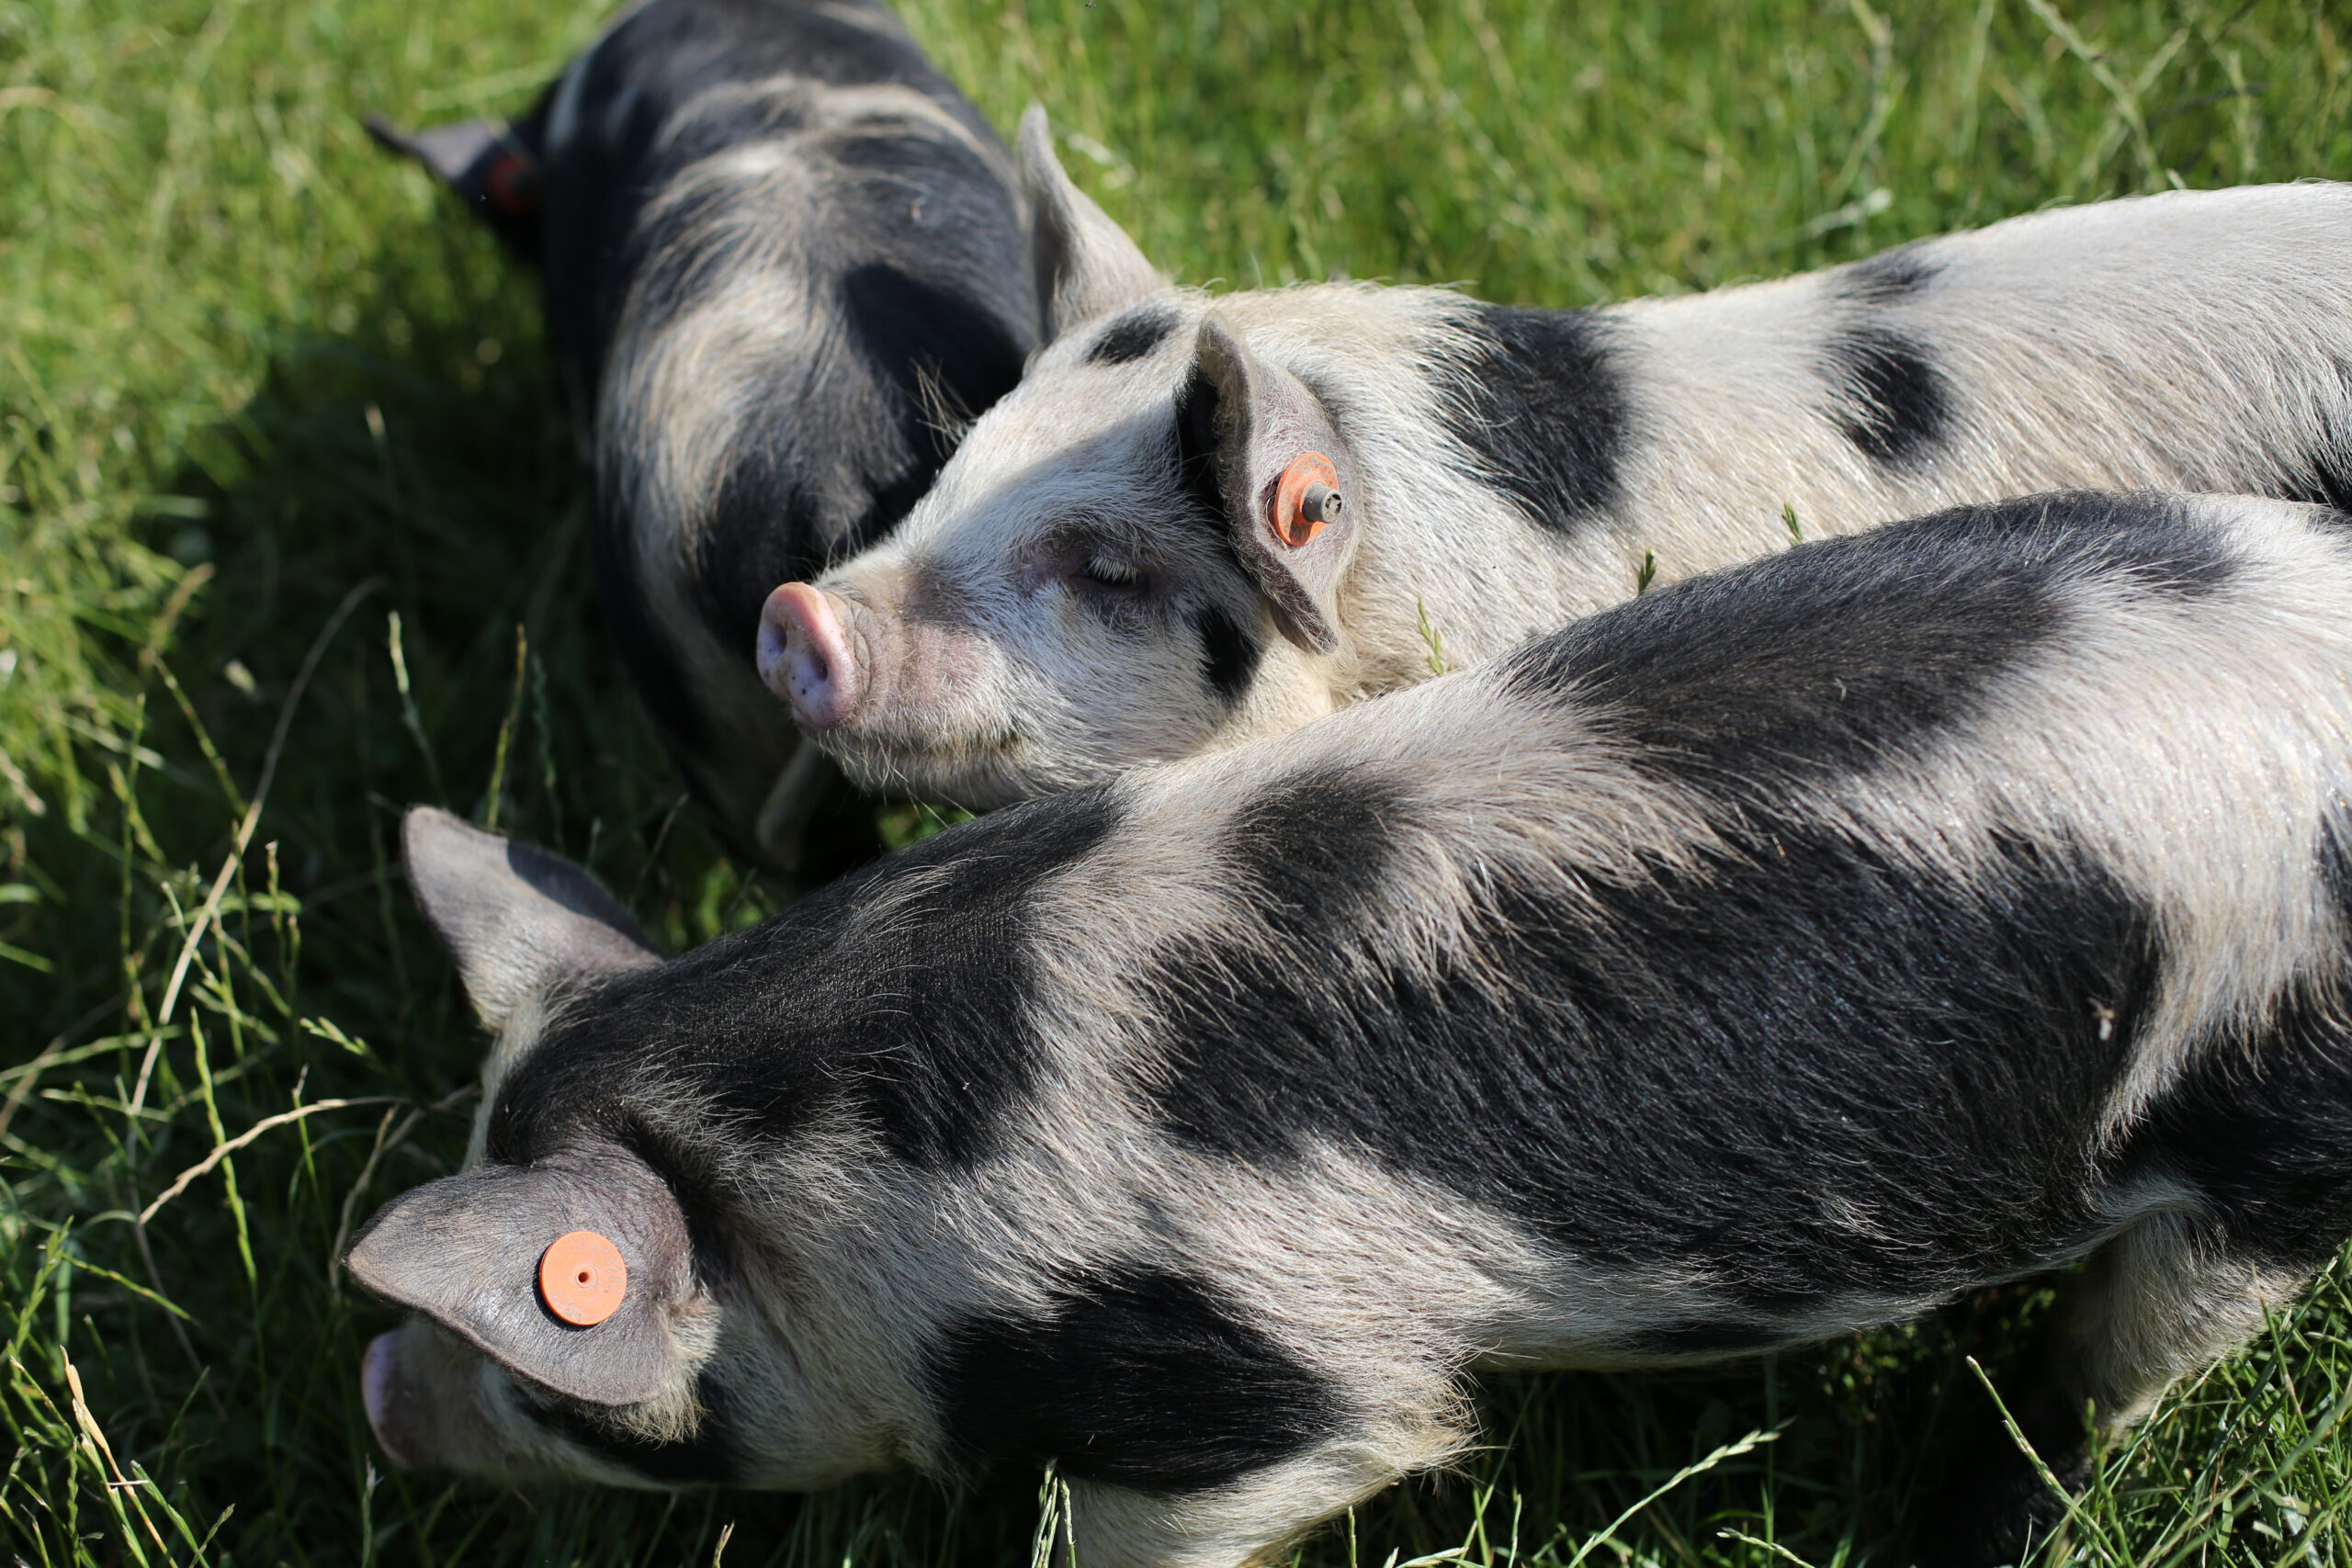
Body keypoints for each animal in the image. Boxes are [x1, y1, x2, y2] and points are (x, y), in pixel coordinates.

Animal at [353, 488, 2352, 1568]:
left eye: (543, 1361)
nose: (376, 1389)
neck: (841, 1136)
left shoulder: (1268, 1384)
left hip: (2280, 1106)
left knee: (2118, 1364)